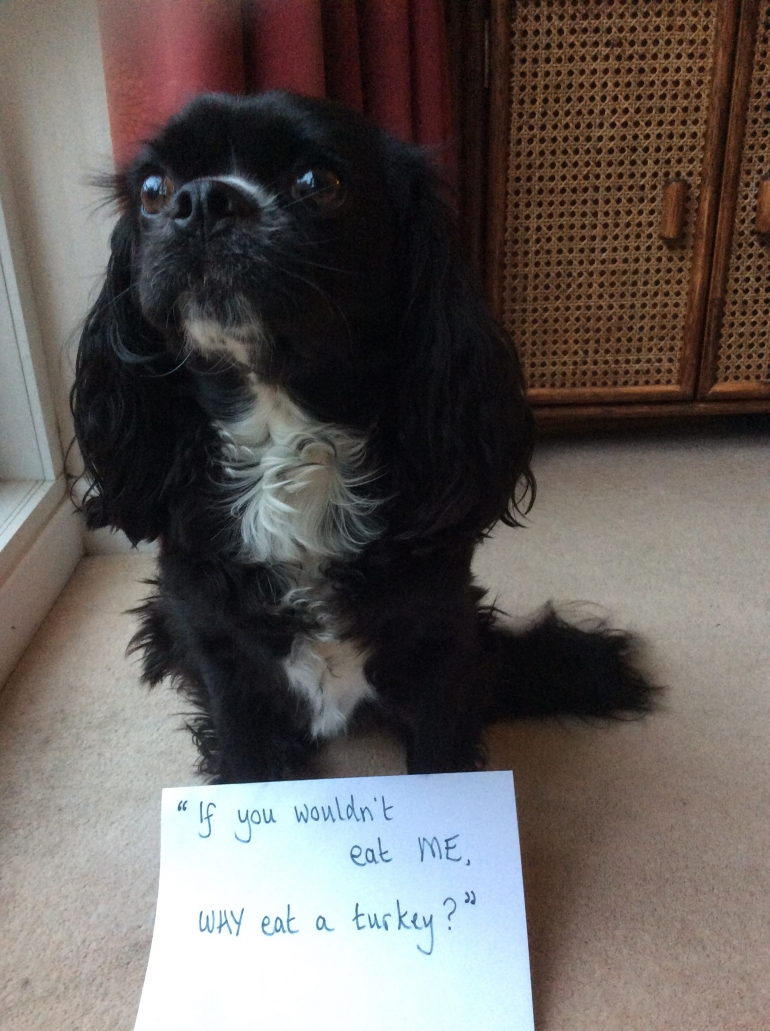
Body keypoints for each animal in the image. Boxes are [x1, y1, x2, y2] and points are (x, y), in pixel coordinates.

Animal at [70, 92, 655, 779]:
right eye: (154, 190)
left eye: (317, 182)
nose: (203, 201)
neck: (288, 447)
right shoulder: (224, 659)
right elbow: (243, 755)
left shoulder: (441, 645)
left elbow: (441, 754)